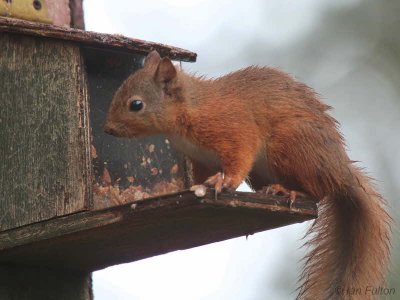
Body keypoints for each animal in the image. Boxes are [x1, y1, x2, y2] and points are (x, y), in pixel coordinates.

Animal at [104, 50, 392, 298]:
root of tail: (341, 173)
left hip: (291, 144)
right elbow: (201, 175)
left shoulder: (234, 131)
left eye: (136, 105)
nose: (107, 130)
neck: (191, 108)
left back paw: (289, 190)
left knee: (318, 192)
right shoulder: (200, 159)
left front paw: (225, 182)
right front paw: (196, 187)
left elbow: (239, 158)